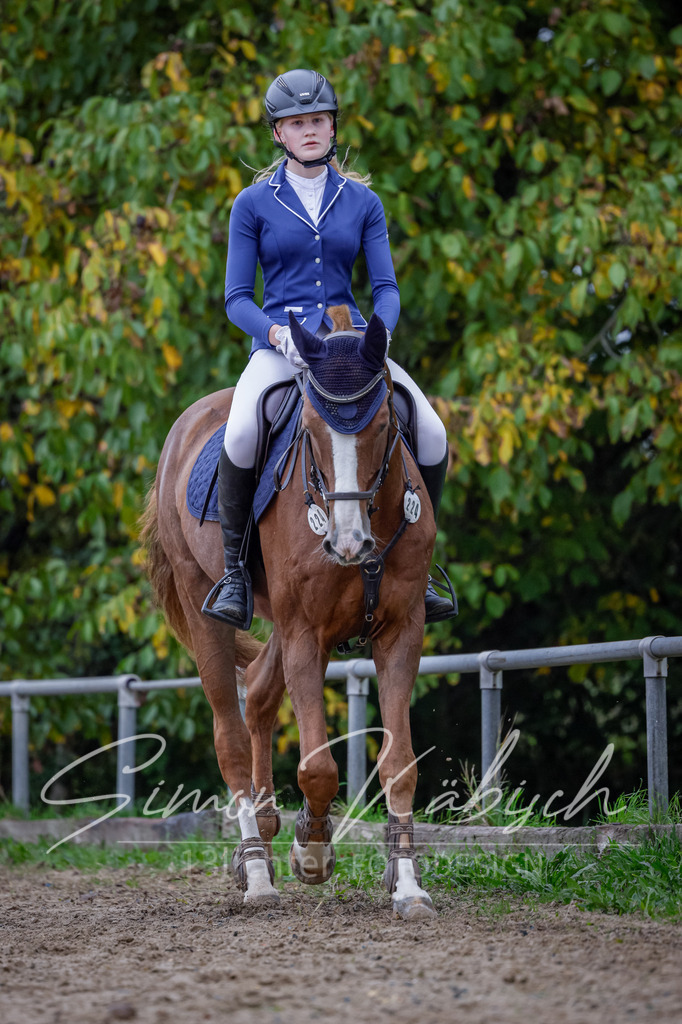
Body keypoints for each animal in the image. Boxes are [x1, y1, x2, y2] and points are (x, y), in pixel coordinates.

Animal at [140, 306, 438, 920]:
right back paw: (256, 867)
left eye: (381, 426)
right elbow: (318, 767)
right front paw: (313, 851)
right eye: (312, 432)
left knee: (257, 691)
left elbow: (400, 762)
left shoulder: (402, 631)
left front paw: (407, 884)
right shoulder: (306, 633)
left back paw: (266, 827)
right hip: (207, 604)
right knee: (230, 731)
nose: (349, 545)